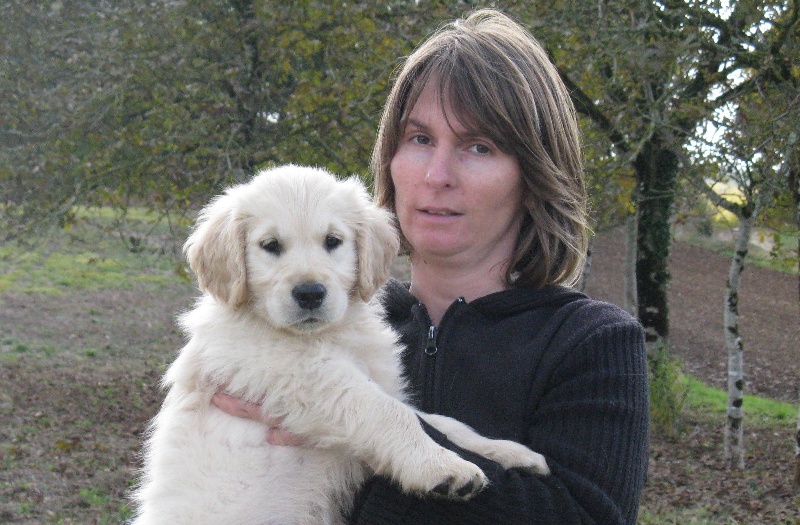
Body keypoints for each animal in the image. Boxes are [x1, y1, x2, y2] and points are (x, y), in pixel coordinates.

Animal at [130, 165, 549, 525]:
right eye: (270, 245)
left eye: (332, 241)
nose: (310, 293)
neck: (323, 335)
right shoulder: (302, 375)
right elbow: (389, 413)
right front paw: (441, 466)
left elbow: (439, 420)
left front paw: (509, 451)